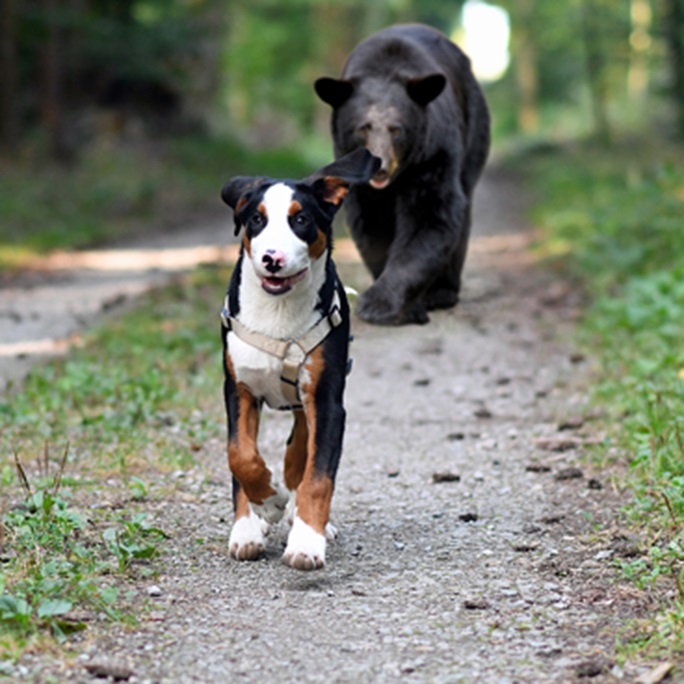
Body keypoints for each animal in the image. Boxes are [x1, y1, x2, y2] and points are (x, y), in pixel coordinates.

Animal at [219, 150, 380, 572]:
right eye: (256, 220)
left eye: (301, 220)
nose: (271, 258)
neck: (277, 314)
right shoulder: (237, 389)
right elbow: (239, 455)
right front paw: (257, 515)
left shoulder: (327, 399)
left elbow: (318, 474)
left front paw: (307, 539)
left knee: (301, 446)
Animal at [316, 22, 492, 328]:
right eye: (363, 128)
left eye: (397, 129)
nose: (380, 166)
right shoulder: (354, 169)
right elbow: (372, 223)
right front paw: (403, 306)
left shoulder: (433, 153)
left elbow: (429, 216)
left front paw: (379, 304)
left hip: (474, 129)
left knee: (463, 206)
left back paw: (442, 293)